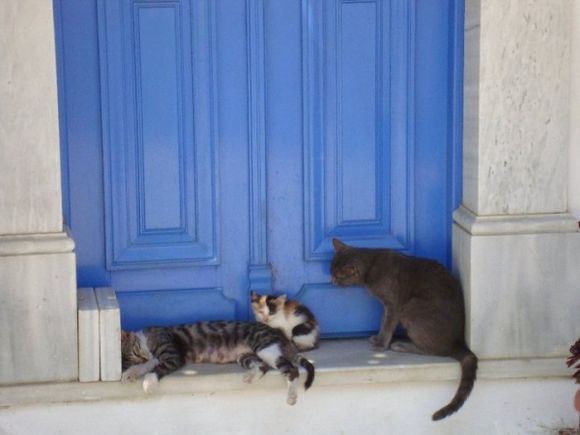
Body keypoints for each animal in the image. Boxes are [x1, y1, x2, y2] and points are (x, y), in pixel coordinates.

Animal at [119, 320, 314, 406]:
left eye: (136, 351)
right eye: (134, 356)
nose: (144, 357)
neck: (147, 338)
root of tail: (282, 336)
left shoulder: (172, 356)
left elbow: (157, 368)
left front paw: (149, 381)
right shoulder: (157, 357)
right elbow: (146, 365)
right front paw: (131, 373)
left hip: (265, 348)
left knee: (292, 370)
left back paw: (291, 396)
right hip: (245, 355)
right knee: (262, 367)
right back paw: (250, 376)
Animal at [328, 238, 478, 422]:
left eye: (337, 275)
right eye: (331, 271)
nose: (331, 281)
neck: (372, 264)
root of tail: (458, 342)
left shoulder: (393, 305)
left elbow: (386, 324)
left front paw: (381, 344)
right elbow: (383, 322)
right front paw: (377, 338)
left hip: (411, 307)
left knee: (437, 350)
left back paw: (401, 345)